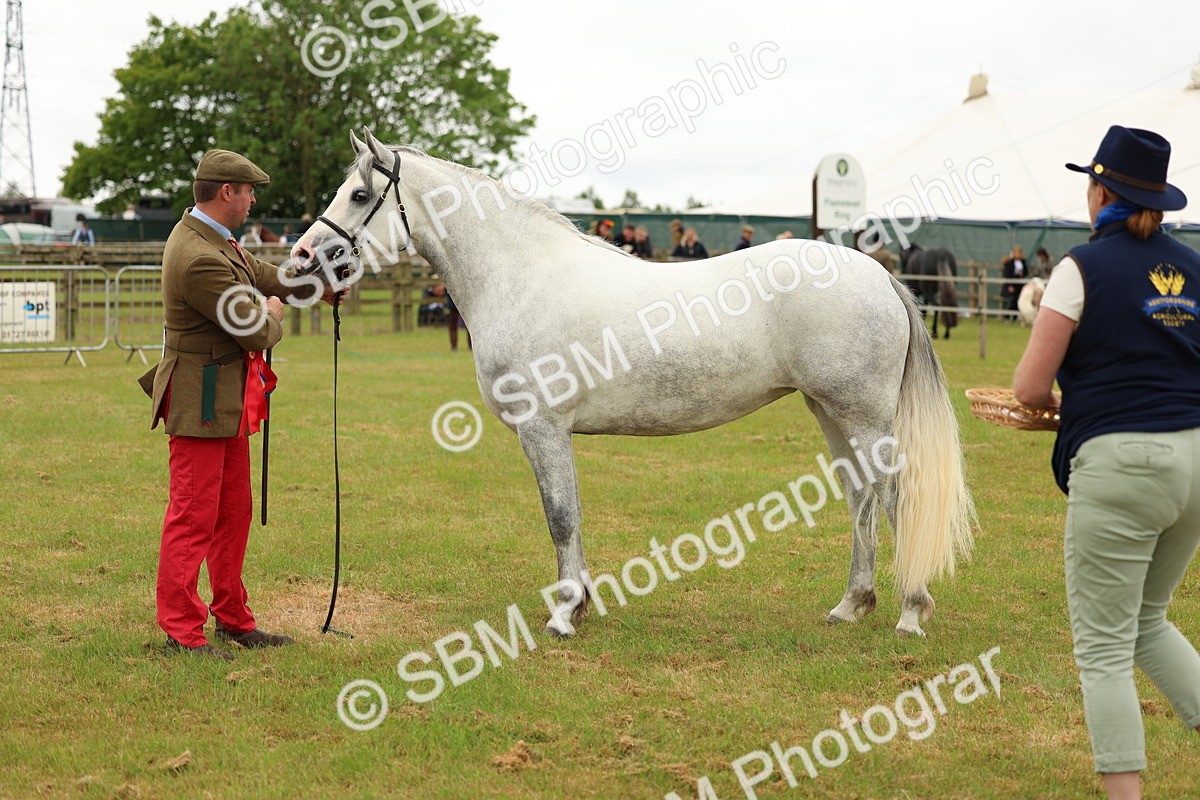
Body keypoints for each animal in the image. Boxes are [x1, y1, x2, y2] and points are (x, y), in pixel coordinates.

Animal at [293, 130, 976, 638]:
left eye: (359, 194)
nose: (302, 257)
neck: (523, 277)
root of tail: (877, 274)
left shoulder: (544, 428)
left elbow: (559, 516)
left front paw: (564, 614)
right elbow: (568, 515)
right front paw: (581, 603)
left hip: (862, 415)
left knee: (894, 497)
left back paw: (910, 610)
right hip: (830, 413)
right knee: (861, 497)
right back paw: (851, 605)